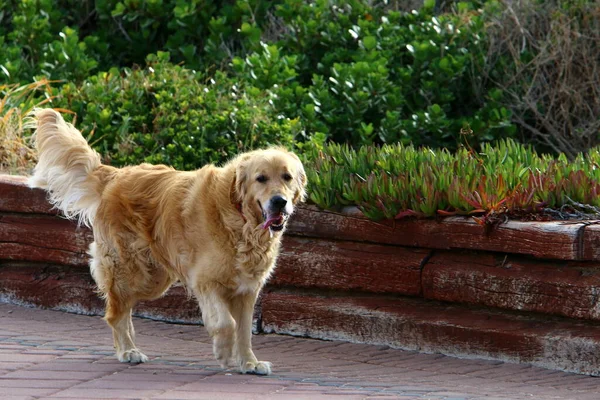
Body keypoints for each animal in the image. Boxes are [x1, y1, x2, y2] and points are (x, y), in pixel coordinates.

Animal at [27, 108, 304, 374]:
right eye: (261, 178)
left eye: (287, 177)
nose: (280, 201)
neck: (240, 219)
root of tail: (115, 174)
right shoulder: (205, 281)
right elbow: (227, 323)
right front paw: (224, 353)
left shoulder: (247, 289)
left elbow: (245, 332)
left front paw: (249, 363)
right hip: (131, 270)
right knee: (115, 312)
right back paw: (127, 351)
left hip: (153, 277)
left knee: (124, 309)